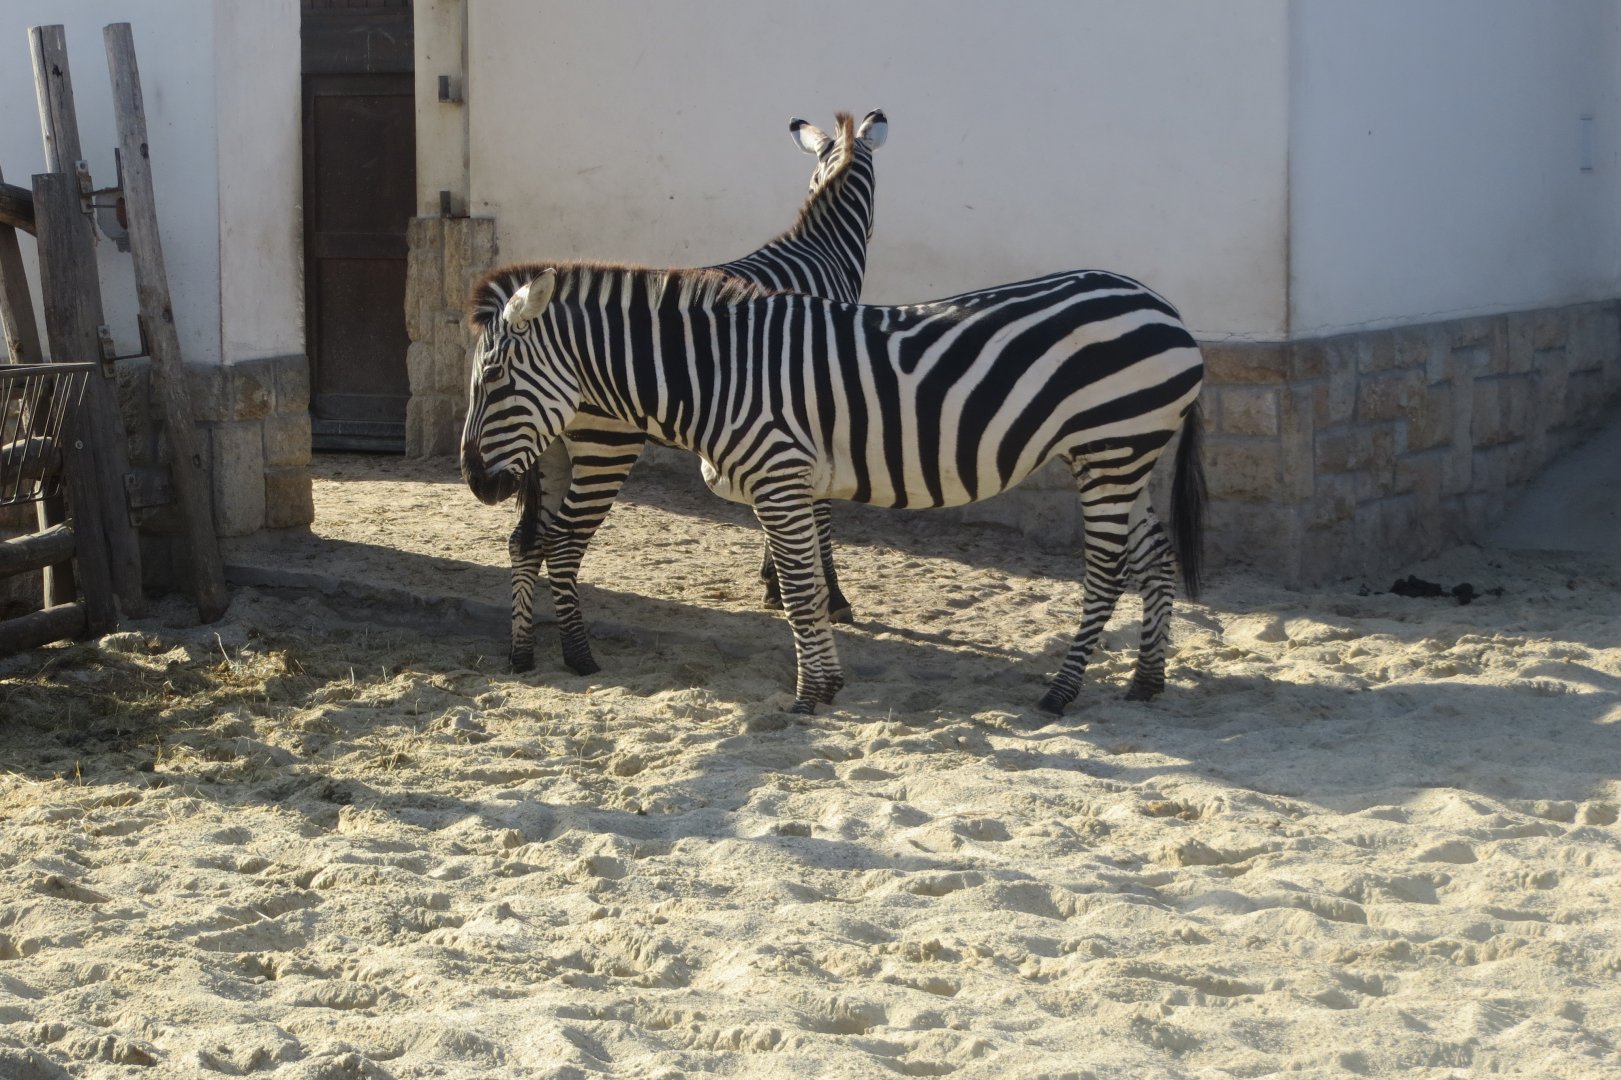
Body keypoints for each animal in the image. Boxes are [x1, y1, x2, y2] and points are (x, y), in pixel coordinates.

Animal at [462, 263, 1205, 716]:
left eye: (493, 379)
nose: (474, 481)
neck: (715, 373)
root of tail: (1162, 305)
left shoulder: (778, 474)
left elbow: (797, 590)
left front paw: (809, 694)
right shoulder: (781, 484)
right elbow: (805, 588)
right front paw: (827, 684)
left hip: (1111, 447)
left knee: (1108, 569)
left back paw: (1061, 692)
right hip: (1125, 454)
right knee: (1154, 556)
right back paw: (1146, 681)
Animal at [506, 109, 887, 678]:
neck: (820, 254)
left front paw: (774, 585)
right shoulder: (814, 412)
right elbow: (819, 513)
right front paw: (832, 596)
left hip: (546, 448)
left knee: (525, 541)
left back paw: (522, 653)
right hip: (601, 444)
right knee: (559, 542)